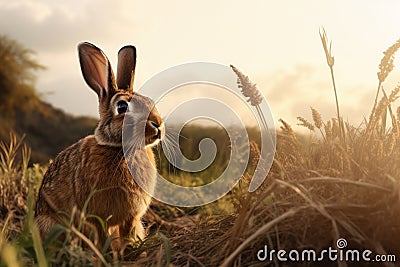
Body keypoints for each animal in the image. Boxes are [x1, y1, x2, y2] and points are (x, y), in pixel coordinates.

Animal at [34, 42, 164, 251]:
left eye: (150, 102)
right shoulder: (97, 215)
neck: (120, 149)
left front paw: (132, 251)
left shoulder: (131, 217)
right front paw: (107, 253)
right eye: (122, 107)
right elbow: (102, 235)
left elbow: (127, 232)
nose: (158, 124)